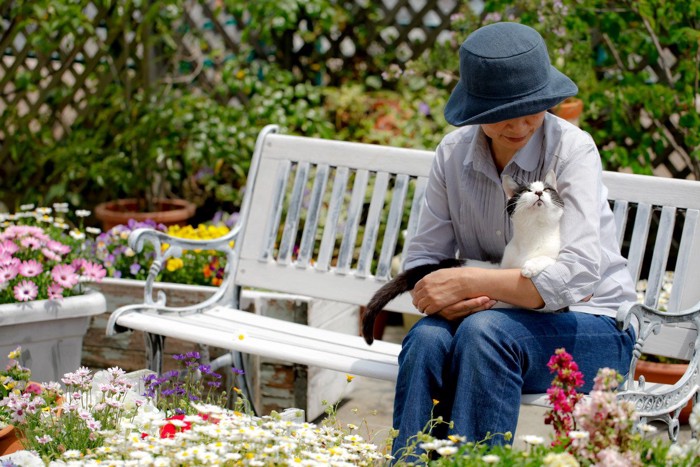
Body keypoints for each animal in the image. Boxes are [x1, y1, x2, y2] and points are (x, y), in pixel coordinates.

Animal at [360, 170, 564, 346]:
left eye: (547, 189)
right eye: (526, 191)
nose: (538, 192)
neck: (533, 236)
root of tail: (442, 264)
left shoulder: (555, 305)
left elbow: (551, 260)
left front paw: (530, 266)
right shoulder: (503, 266)